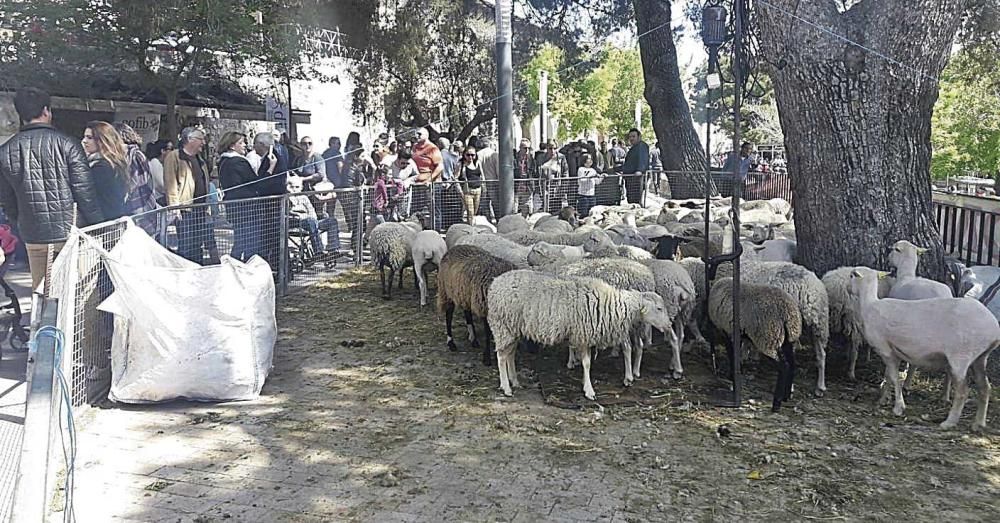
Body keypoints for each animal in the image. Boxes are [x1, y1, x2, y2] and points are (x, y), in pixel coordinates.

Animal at [486, 270, 672, 402]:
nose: (669, 325)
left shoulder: (584, 336)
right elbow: (587, 363)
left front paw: (585, 383)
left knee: (510, 354)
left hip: (512, 329)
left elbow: (586, 363)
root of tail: (495, 284)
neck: (611, 304)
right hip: (502, 325)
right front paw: (589, 391)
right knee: (501, 357)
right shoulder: (583, 334)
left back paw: (515, 381)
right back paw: (506, 387)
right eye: (659, 308)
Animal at [708, 278, 800, 414]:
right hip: (788, 340)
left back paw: (776, 404)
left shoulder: (727, 331)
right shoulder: (736, 334)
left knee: (784, 366)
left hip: (768, 338)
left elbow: (731, 353)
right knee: (792, 364)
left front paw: (732, 375)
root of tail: (786, 313)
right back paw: (786, 396)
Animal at [848, 268, 996, 432]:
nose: (847, 288)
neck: (869, 306)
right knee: (985, 387)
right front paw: (882, 399)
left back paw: (949, 422)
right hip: (980, 357)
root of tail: (994, 328)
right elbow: (889, 376)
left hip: (961, 356)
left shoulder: (885, 349)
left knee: (963, 391)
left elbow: (894, 378)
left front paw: (898, 407)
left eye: (851, 275)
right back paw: (978, 423)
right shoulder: (892, 352)